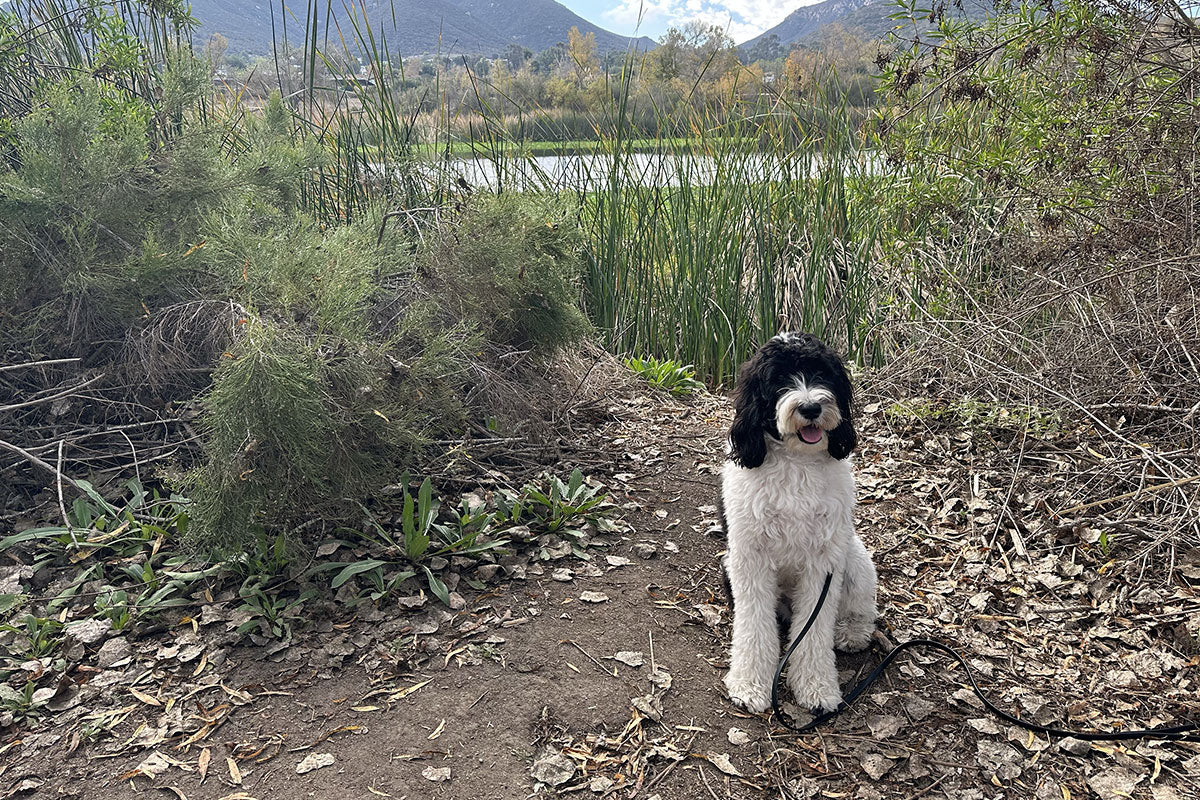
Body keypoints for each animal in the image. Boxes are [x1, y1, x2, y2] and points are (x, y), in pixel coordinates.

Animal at [715, 331, 878, 714]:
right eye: (778, 380)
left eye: (822, 374)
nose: (810, 408)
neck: (796, 463)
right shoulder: (751, 558)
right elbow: (754, 626)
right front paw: (749, 684)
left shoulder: (823, 562)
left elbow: (815, 632)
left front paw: (817, 687)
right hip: (730, 566)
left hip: (855, 560)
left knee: (862, 610)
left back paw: (852, 632)